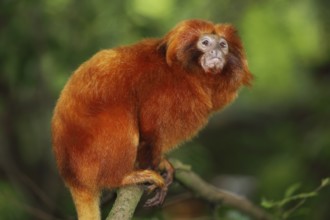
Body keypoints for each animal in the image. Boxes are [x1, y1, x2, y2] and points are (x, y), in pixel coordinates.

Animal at [51, 19, 253, 220]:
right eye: (205, 43)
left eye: (223, 45)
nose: (216, 52)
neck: (188, 73)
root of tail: (72, 178)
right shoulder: (163, 90)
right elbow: (148, 128)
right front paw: (153, 166)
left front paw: (162, 161)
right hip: (89, 155)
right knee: (124, 118)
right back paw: (122, 178)